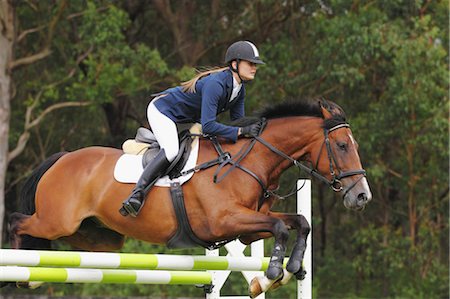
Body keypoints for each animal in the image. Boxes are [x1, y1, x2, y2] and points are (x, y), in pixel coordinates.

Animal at [7, 99, 372, 298]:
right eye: (342, 146)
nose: (362, 196)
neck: (248, 161)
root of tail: (62, 158)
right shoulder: (224, 221)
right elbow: (282, 228)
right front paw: (272, 273)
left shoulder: (246, 232)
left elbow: (299, 222)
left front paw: (291, 268)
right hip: (56, 221)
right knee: (17, 222)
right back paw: (19, 274)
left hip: (96, 238)